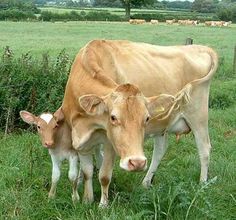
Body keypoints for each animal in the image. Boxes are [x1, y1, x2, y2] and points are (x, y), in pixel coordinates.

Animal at [61, 40, 218, 206]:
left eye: (147, 118)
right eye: (113, 117)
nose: (137, 163)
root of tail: (200, 47)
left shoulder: (110, 142)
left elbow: (104, 175)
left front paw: (103, 205)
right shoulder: (81, 138)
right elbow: (87, 171)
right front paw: (85, 199)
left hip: (198, 116)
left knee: (204, 149)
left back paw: (202, 184)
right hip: (163, 126)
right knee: (160, 150)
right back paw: (146, 182)